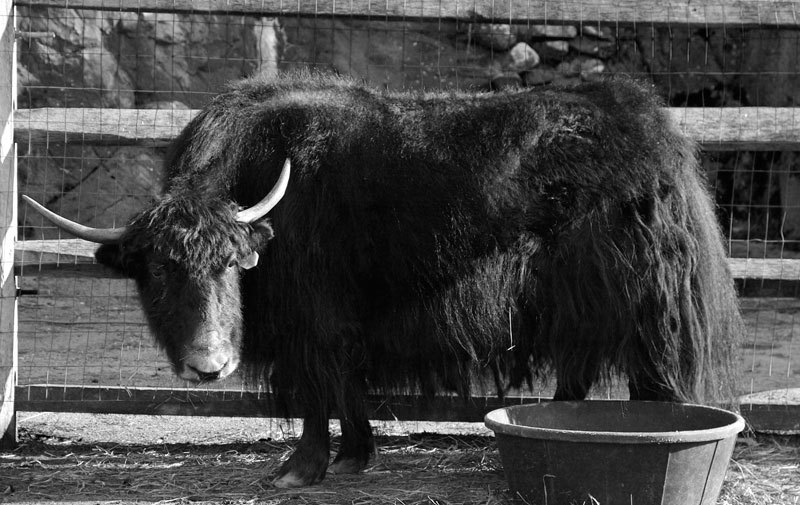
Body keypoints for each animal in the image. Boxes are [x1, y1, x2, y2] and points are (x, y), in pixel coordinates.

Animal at [25, 72, 743, 488]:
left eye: (231, 265)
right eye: (160, 273)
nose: (210, 365)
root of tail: (652, 135)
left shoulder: (310, 318)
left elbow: (317, 389)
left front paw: (300, 470)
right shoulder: (333, 321)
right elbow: (345, 386)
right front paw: (353, 456)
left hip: (641, 303)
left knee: (649, 381)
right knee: (579, 372)